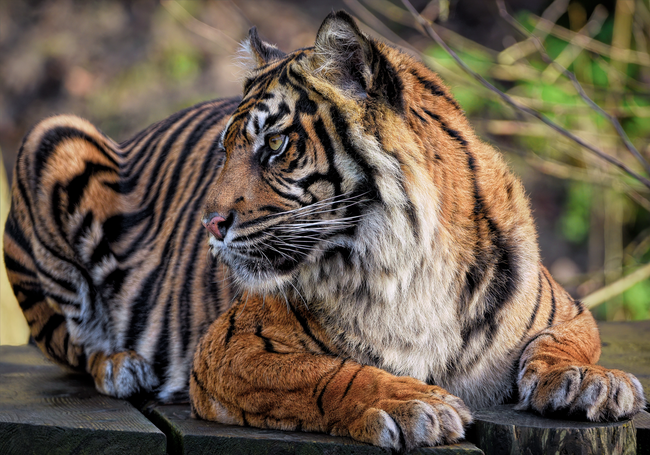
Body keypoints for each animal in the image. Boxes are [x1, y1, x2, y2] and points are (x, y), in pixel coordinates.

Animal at [3, 9, 645, 451]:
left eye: (275, 145)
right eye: (225, 150)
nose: (209, 223)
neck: (412, 268)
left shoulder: (567, 308)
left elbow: (563, 343)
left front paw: (590, 382)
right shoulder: (232, 346)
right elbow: (330, 373)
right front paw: (414, 405)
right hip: (51, 138)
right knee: (67, 341)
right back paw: (121, 366)